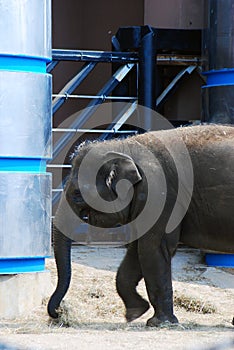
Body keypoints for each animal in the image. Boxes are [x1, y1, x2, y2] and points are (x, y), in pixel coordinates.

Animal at [48, 124, 234, 326]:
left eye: (77, 194)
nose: (58, 313)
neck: (124, 146)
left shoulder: (158, 193)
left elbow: (152, 248)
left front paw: (160, 323)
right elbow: (136, 250)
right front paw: (135, 313)